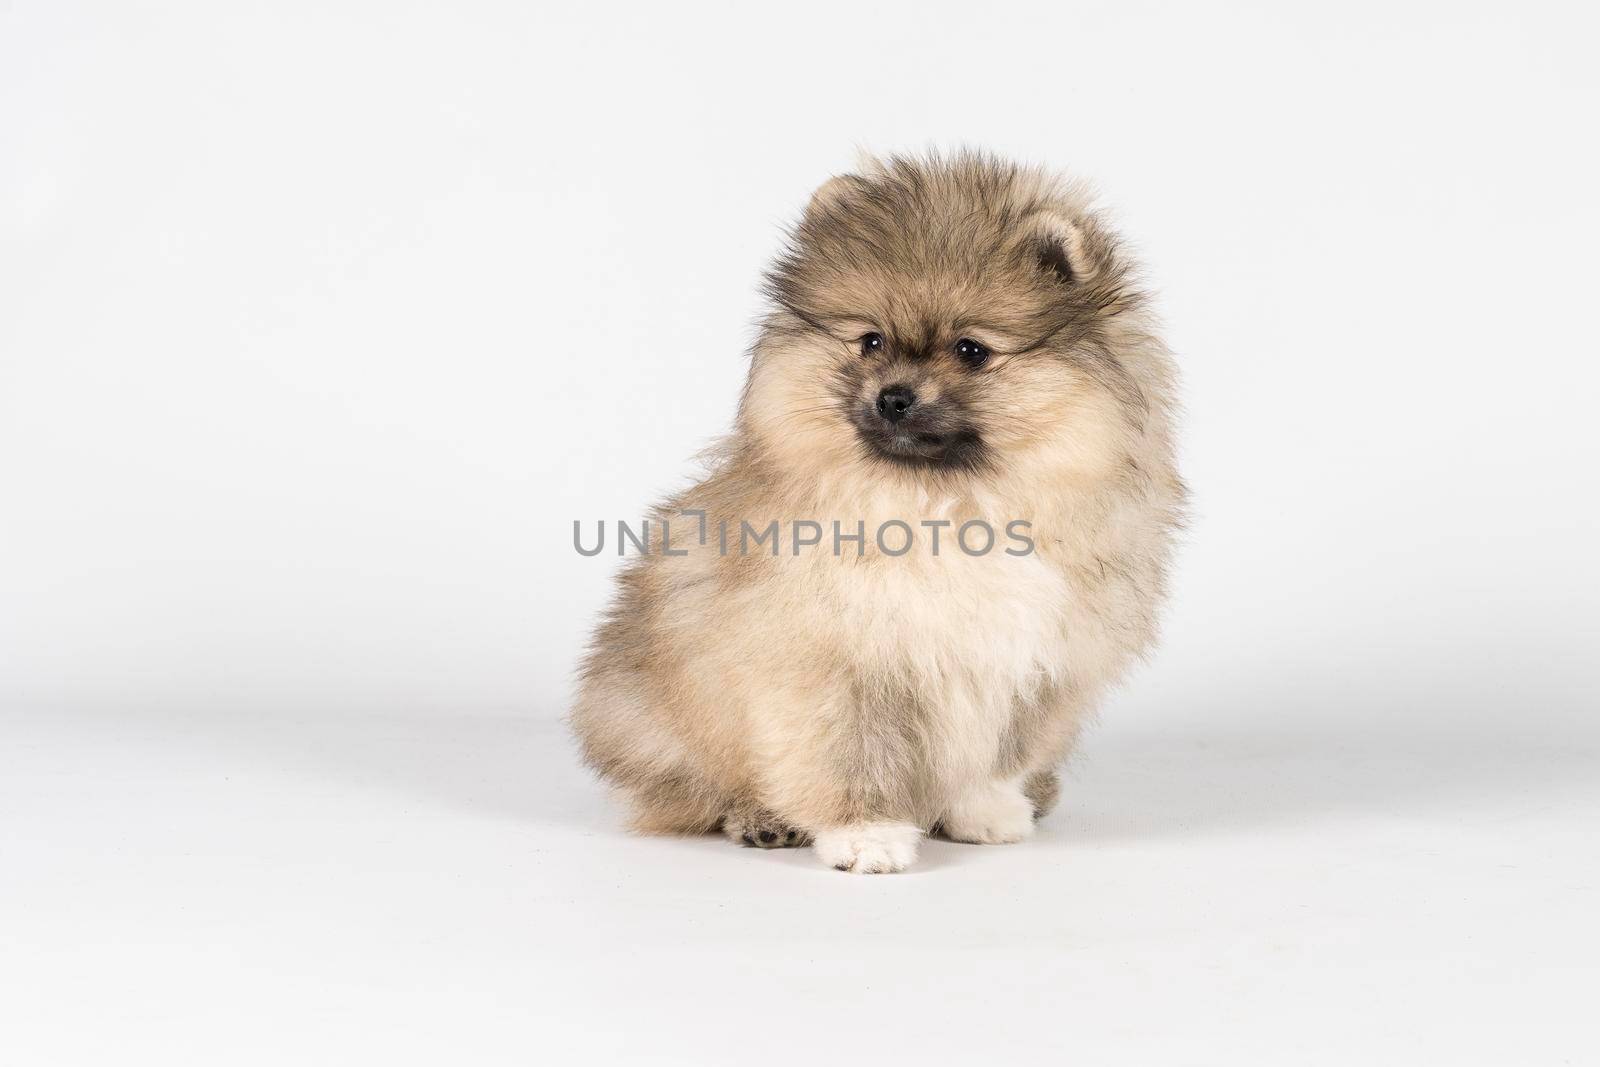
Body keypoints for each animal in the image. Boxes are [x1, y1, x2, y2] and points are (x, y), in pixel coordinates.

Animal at [569, 150, 1184, 870]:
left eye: (971, 350)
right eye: (870, 341)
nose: (893, 395)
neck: (945, 500)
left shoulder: (1035, 664)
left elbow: (996, 753)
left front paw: (985, 809)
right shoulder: (837, 661)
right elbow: (847, 754)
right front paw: (865, 834)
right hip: (651, 719)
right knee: (690, 787)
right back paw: (760, 816)